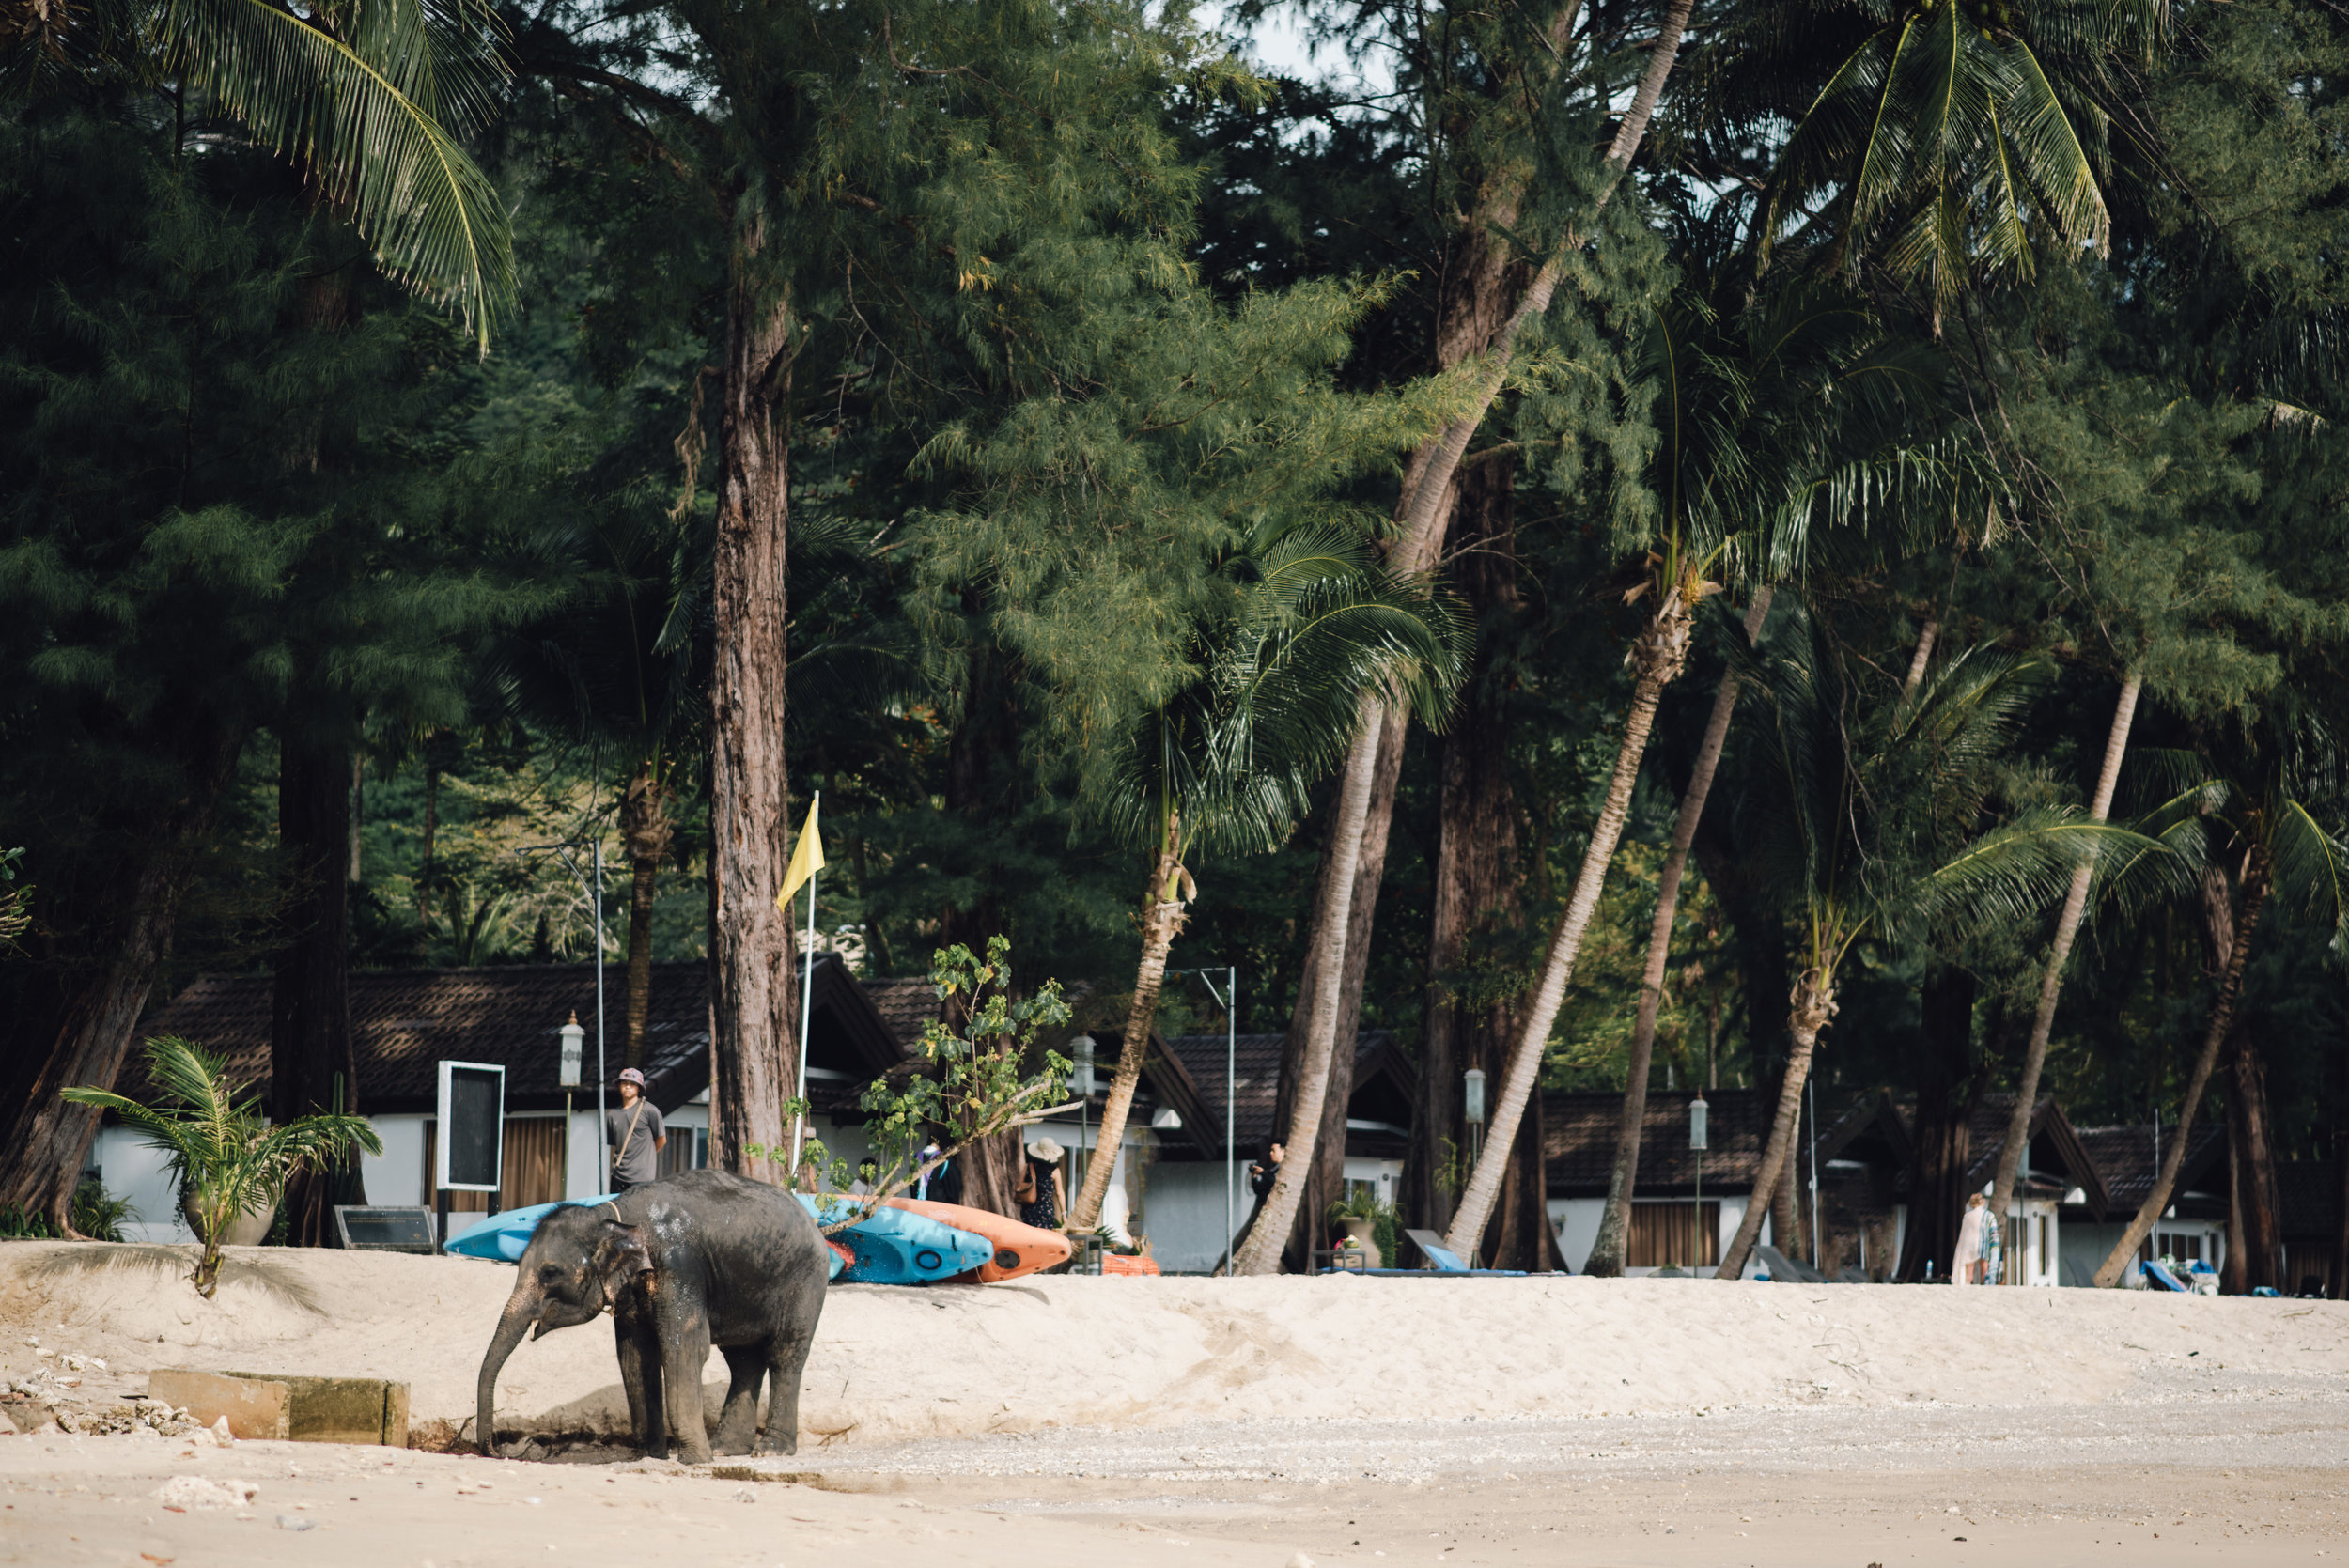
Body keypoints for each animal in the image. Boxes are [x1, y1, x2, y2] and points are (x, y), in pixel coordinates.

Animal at [472, 1169, 832, 1465]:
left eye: (550, 1273)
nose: (497, 1450)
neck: (615, 1215)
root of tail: (814, 1225)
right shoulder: (632, 1286)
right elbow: (635, 1354)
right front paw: (651, 1456)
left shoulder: (680, 1266)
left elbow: (684, 1346)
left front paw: (695, 1461)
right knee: (743, 1360)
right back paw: (725, 1449)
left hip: (807, 1280)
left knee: (785, 1354)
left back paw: (769, 1450)